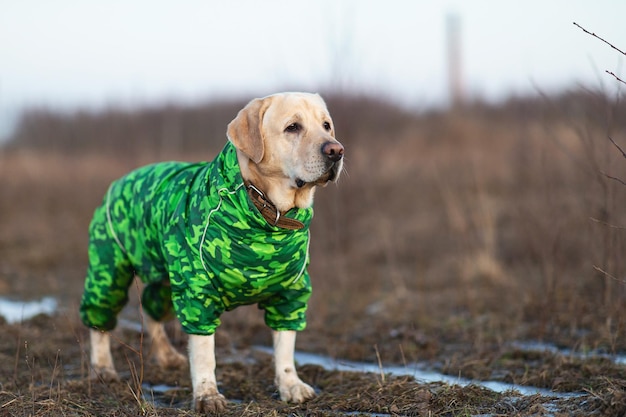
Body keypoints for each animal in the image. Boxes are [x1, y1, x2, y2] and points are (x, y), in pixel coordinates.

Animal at [78, 92, 344, 412]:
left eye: (326, 125)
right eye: (292, 127)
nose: (336, 150)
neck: (269, 215)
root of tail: (120, 180)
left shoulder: (291, 292)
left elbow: (285, 345)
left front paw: (290, 385)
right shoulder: (197, 292)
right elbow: (205, 351)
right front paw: (207, 394)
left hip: (164, 279)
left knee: (152, 311)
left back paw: (166, 356)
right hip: (109, 269)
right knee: (99, 321)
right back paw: (103, 368)